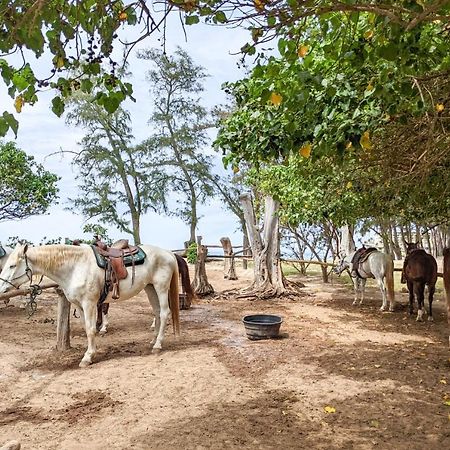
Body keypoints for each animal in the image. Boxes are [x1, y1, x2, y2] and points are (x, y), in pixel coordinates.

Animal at [0, 244, 179, 368]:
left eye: (12, 265)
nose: (0, 287)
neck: (75, 267)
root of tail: (168, 253)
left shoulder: (89, 303)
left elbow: (91, 329)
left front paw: (87, 357)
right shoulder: (79, 305)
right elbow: (87, 328)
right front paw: (92, 352)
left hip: (161, 287)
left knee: (164, 313)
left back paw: (158, 345)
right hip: (150, 288)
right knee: (157, 312)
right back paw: (153, 341)